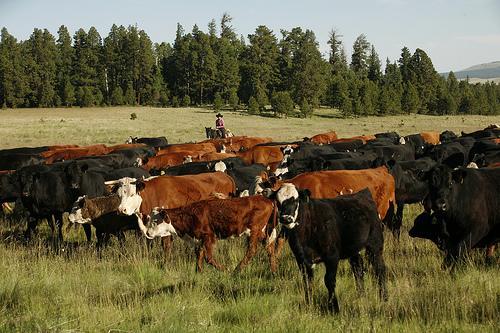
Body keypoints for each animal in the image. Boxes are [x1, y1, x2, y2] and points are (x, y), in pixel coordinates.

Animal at [141, 196, 280, 272]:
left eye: (155, 221)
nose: (147, 232)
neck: (189, 215)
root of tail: (268, 200)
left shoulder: (209, 236)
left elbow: (208, 257)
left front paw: (225, 270)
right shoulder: (199, 239)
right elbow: (199, 255)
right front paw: (198, 272)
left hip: (254, 230)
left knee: (251, 250)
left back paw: (236, 270)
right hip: (263, 232)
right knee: (269, 248)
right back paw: (273, 270)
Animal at [270, 184, 386, 312]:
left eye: (296, 200)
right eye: (278, 201)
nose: (286, 218)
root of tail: (363, 193)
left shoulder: (332, 256)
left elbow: (329, 280)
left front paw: (334, 307)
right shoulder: (301, 260)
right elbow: (307, 282)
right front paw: (309, 305)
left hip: (375, 244)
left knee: (379, 268)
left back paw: (383, 297)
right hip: (354, 249)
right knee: (358, 269)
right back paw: (361, 296)